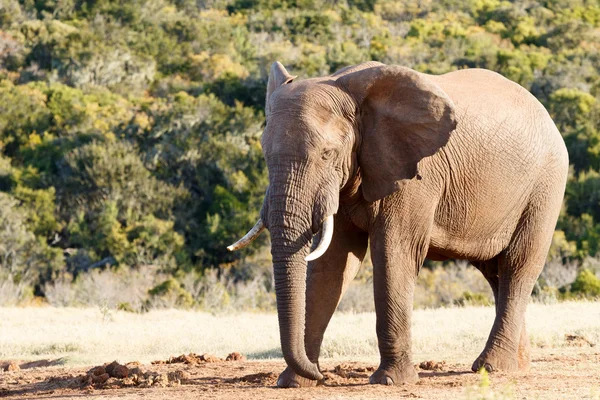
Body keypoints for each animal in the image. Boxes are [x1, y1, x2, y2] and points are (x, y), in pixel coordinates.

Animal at [227, 61, 568, 388]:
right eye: (264, 154)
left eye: (327, 154)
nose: (323, 376)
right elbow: (331, 265)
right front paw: (295, 382)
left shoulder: (414, 176)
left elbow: (393, 254)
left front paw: (390, 380)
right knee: (495, 272)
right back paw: (515, 365)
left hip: (545, 186)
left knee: (517, 266)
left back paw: (491, 367)